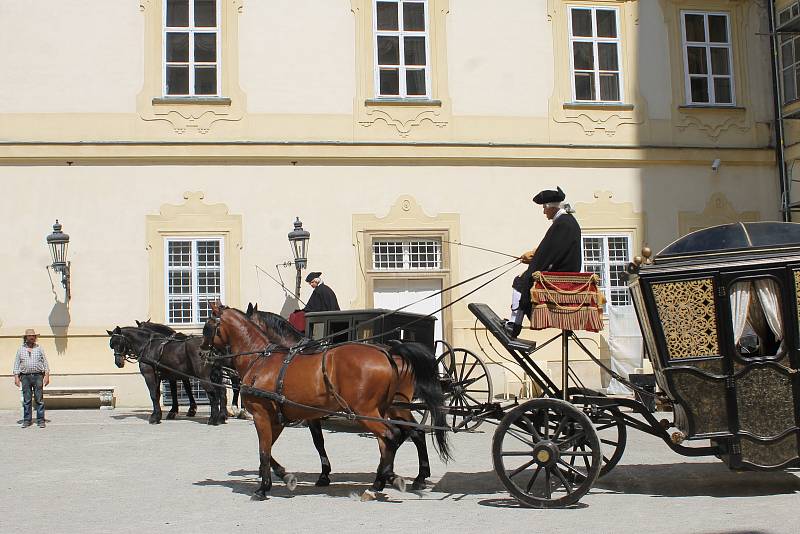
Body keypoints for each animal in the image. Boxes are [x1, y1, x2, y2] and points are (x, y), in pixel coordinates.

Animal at [200, 306, 450, 502]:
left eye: (207, 327)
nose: (202, 354)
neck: (261, 360)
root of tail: (389, 353)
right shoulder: (278, 418)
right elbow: (269, 450)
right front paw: (285, 476)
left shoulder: (263, 415)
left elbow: (265, 450)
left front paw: (263, 488)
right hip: (387, 408)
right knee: (400, 437)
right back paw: (390, 479)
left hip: (368, 411)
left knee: (394, 436)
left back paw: (385, 480)